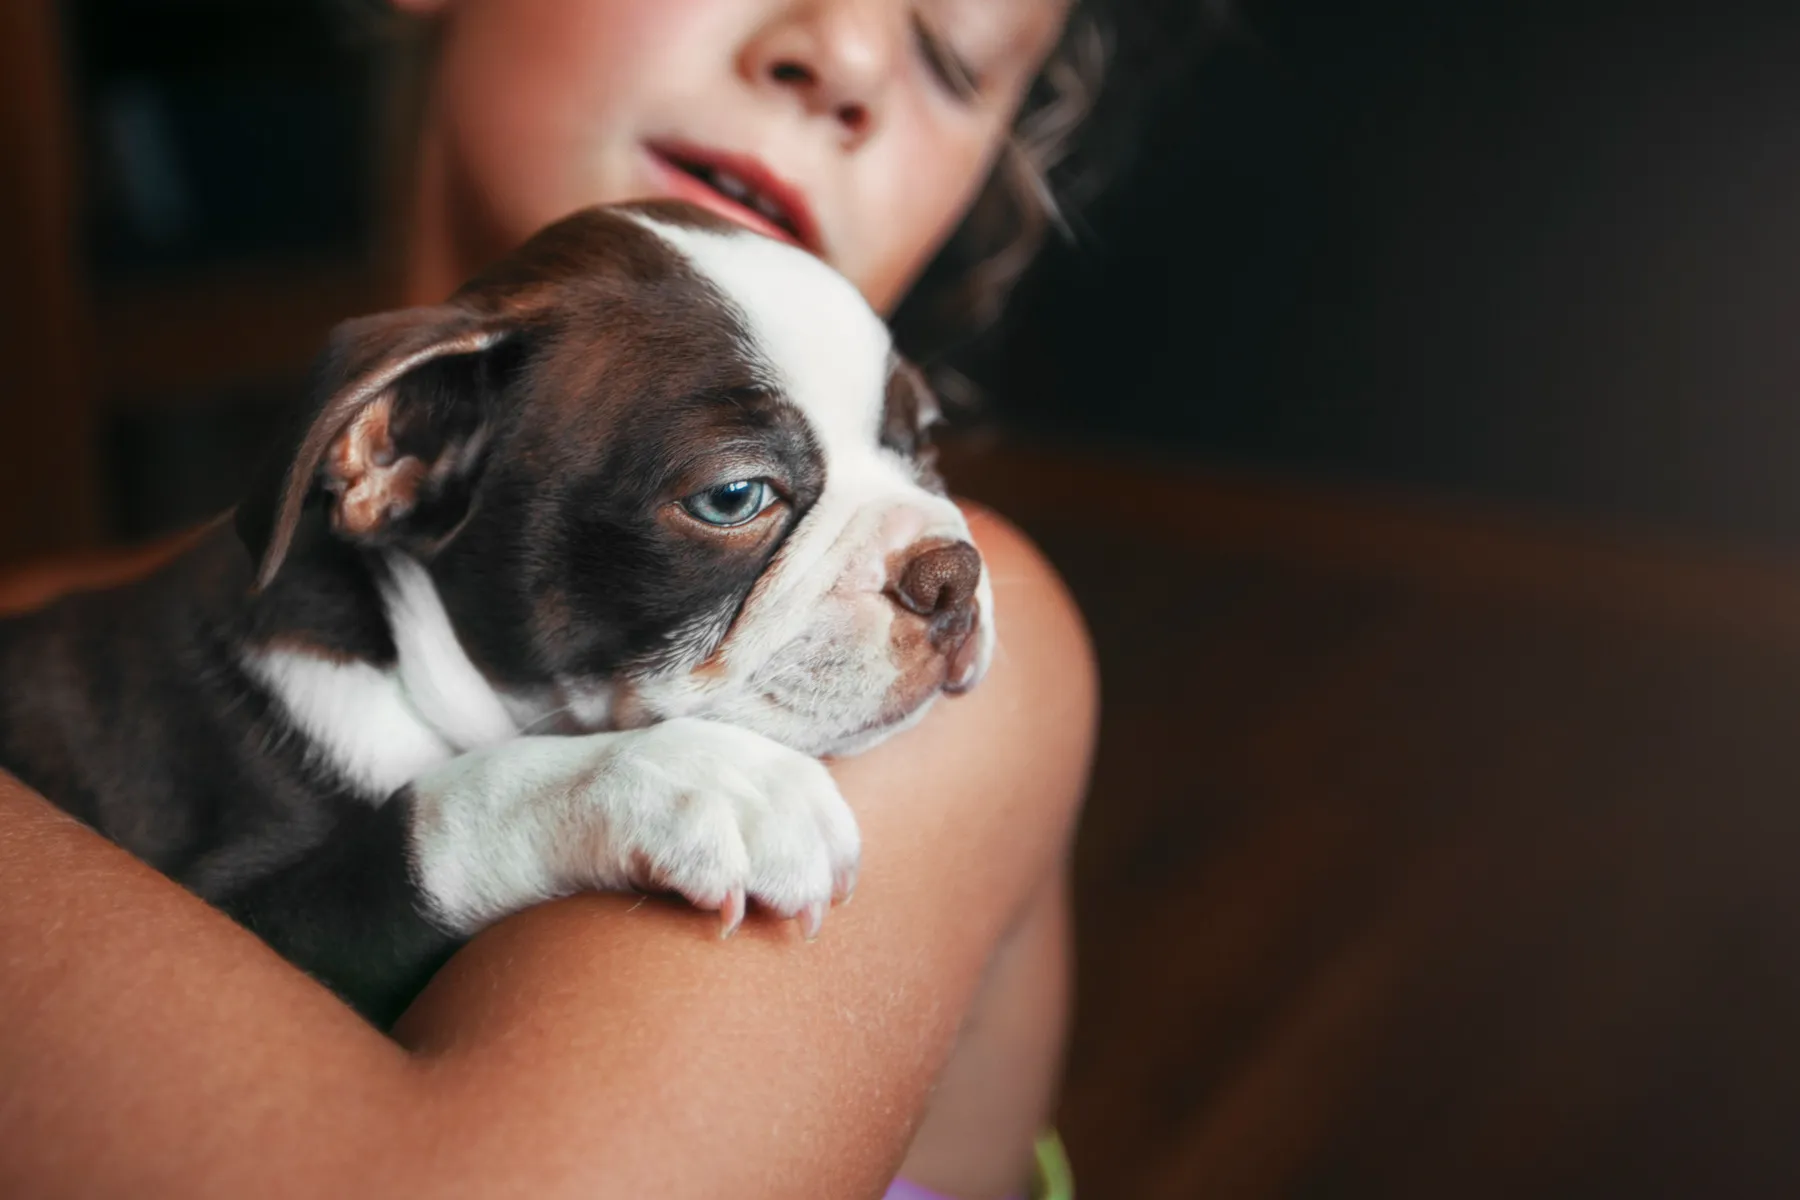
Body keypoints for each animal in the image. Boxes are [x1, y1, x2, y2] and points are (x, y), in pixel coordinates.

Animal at [0, 201, 1000, 1029]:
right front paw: (699, 779)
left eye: (923, 442)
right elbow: (433, 817)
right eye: (733, 497)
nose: (953, 573)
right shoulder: (233, 912)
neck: (403, 663)